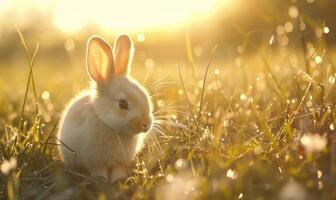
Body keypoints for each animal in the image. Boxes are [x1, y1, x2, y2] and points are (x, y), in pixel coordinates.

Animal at [57, 34, 153, 183]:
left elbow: (118, 170)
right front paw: (101, 180)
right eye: (123, 104)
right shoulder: (95, 161)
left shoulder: (120, 162)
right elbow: (99, 170)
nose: (146, 124)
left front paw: (118, 180)